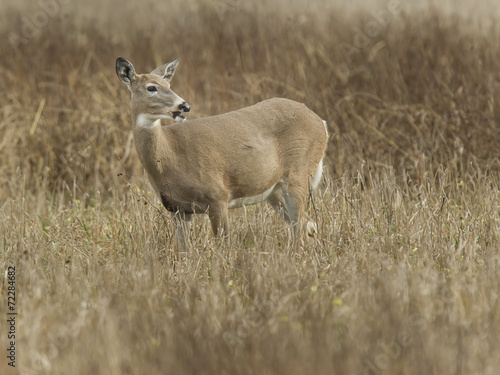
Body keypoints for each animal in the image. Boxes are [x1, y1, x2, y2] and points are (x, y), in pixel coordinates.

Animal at [116, 57, 328, 251]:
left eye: (169, 84)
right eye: (151, 88)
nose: (184, 106)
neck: (171, 156)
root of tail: (322, 123)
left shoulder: (218, 195)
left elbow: (223, 246)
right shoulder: (177, 208)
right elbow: (183, 251)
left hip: (298, 172)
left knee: (301, 229)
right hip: (274, 190)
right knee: (308, 225)